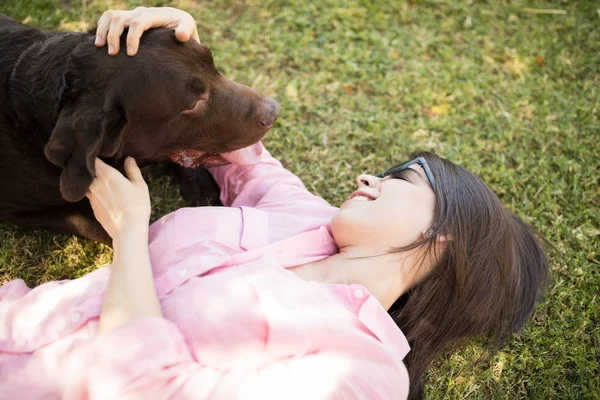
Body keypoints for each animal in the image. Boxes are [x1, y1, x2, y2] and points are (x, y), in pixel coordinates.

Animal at [0, 13, 280, 244]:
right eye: (192, 104)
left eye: (211, 64)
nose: (274, 110)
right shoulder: (16, 211)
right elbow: (92, 224)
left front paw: (199, 183)